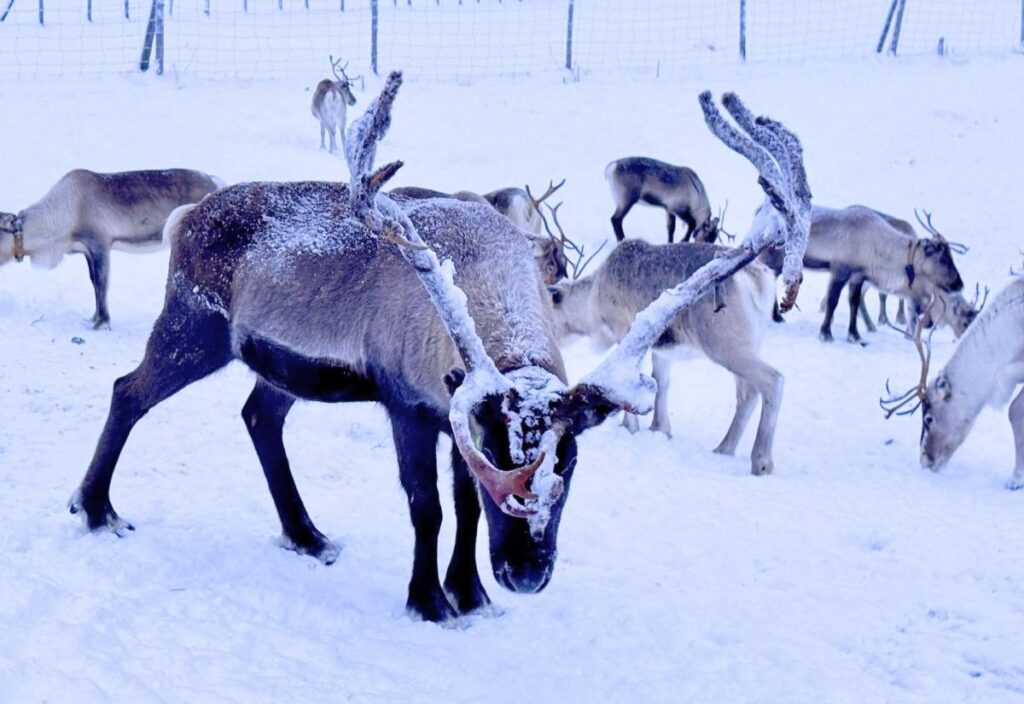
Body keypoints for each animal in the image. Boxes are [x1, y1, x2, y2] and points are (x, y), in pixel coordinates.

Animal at [0, 168, 221, 328]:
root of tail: (218, 182)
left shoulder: (100, 244)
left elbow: (101, 283)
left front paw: (102, 322)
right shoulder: (86, 251)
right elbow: (93, 282)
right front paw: (93, 317)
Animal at [67, 76, 811, 623]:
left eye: (568, 461)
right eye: (507, 462)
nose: (525, 574)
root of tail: (184, 219)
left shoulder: (456, 412)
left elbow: (462, 507)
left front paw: (471, 595)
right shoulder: (408, 403)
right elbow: (426, 504)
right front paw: (429, 601)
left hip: (273, 363)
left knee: (258, 418)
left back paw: (308, 535)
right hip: (194, 326)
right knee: (128, 390)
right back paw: (96, 508)